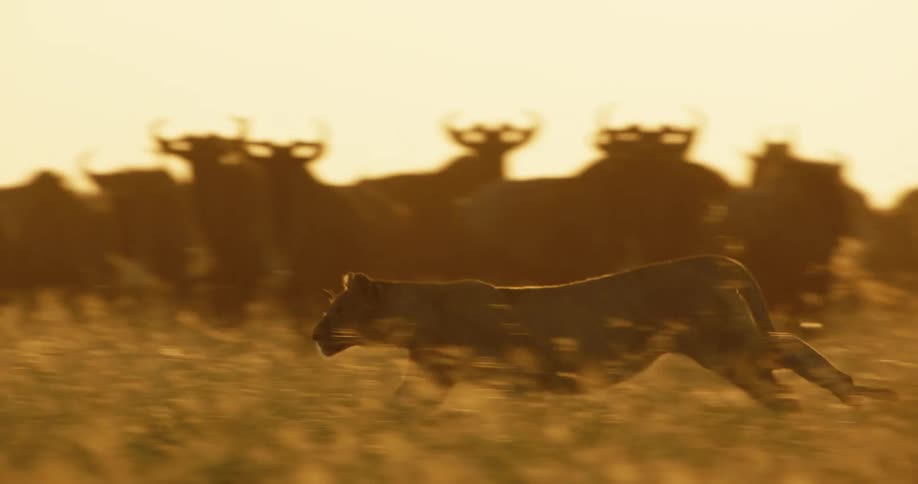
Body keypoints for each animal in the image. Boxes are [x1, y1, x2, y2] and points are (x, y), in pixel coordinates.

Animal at [311, 255, 895, 411]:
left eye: (337, 308)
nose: (314, 334)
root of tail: (715, 259)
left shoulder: (491, 371)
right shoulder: (435, 376)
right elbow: (400, 410)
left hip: (724, 346)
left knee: (790, 351)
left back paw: (851, 394)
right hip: (729, 352)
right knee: (781, 371)